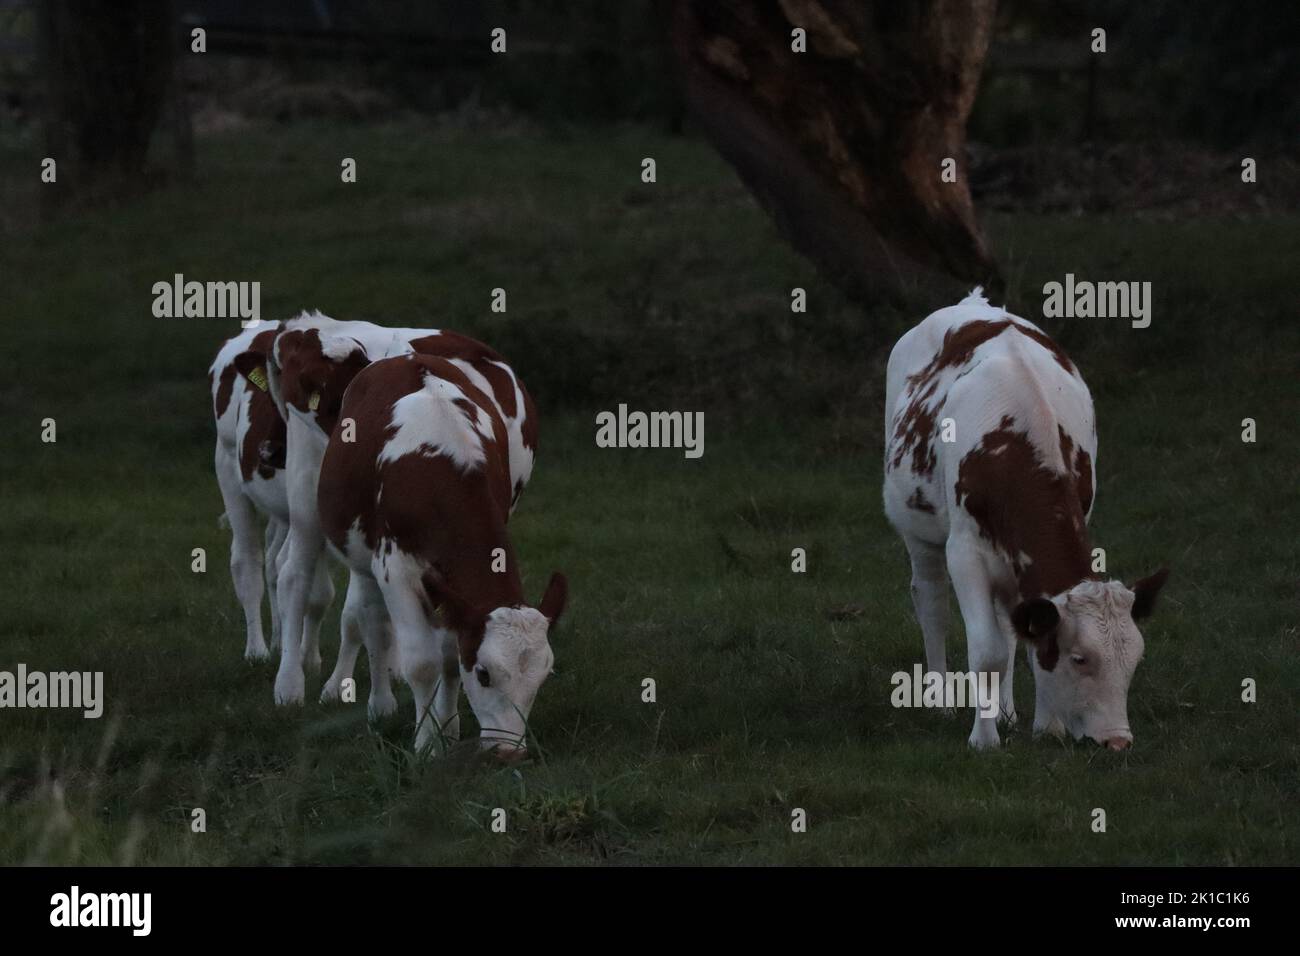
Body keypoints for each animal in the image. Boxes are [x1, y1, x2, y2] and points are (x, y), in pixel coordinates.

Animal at [210, 324, 334, 660]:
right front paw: (307, 658)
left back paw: (280, 641)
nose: (270, 450)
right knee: (248, 561)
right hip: (228, 467)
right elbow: (318, 592)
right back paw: (258, 650)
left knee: (274, 559)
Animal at [317, 353, 566, 756]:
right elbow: (422, 663)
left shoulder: (453, 595)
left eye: (542, 678)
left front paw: (448, 731)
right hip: (362, 558)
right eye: (484, 674)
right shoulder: (395, 568)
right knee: (370, 621)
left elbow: (449, 657)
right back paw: (379, 705)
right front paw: (426, 744)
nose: (508, 752)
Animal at [883, 289, 1169, 750]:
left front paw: (1044, 725)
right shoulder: (964, 551)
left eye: (1135, 659)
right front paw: (984, 740)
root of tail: (972, 303)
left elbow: (1026, 637)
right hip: (917, 527)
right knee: (931, 602)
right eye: (1080, 658)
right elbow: (988, 651)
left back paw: (1006, 711)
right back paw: (940, 702)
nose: (1118, 740)